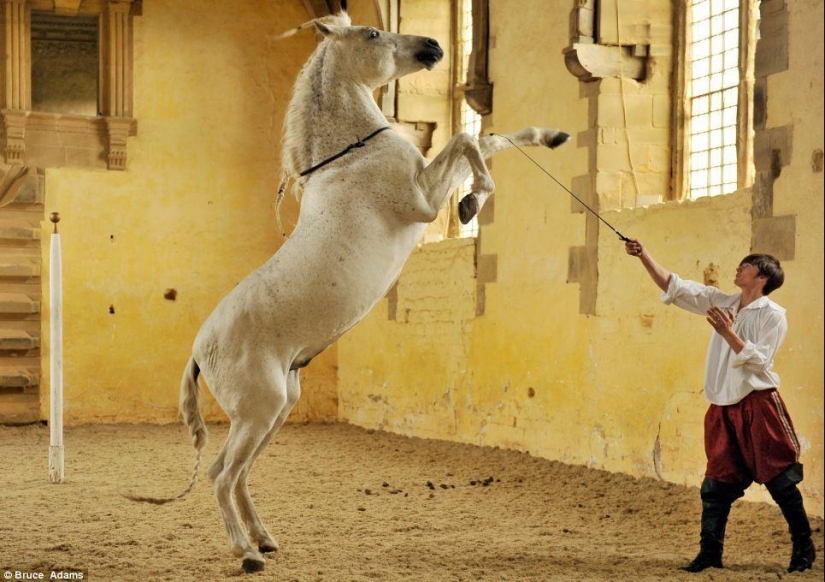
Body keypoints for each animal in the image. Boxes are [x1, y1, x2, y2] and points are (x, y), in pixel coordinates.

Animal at [126, 7, 569, 574]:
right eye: (374, 33)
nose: (432, 47)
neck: (352, 157)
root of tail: (199, 352)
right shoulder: (424, 200)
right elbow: (469, 144)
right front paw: (473, 201)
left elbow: (491, 139)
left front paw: (552, 136)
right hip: (260, 411)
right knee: (221, 474)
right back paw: (246, 554)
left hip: (275, 411)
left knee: (237, 473)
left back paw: (264, 539)